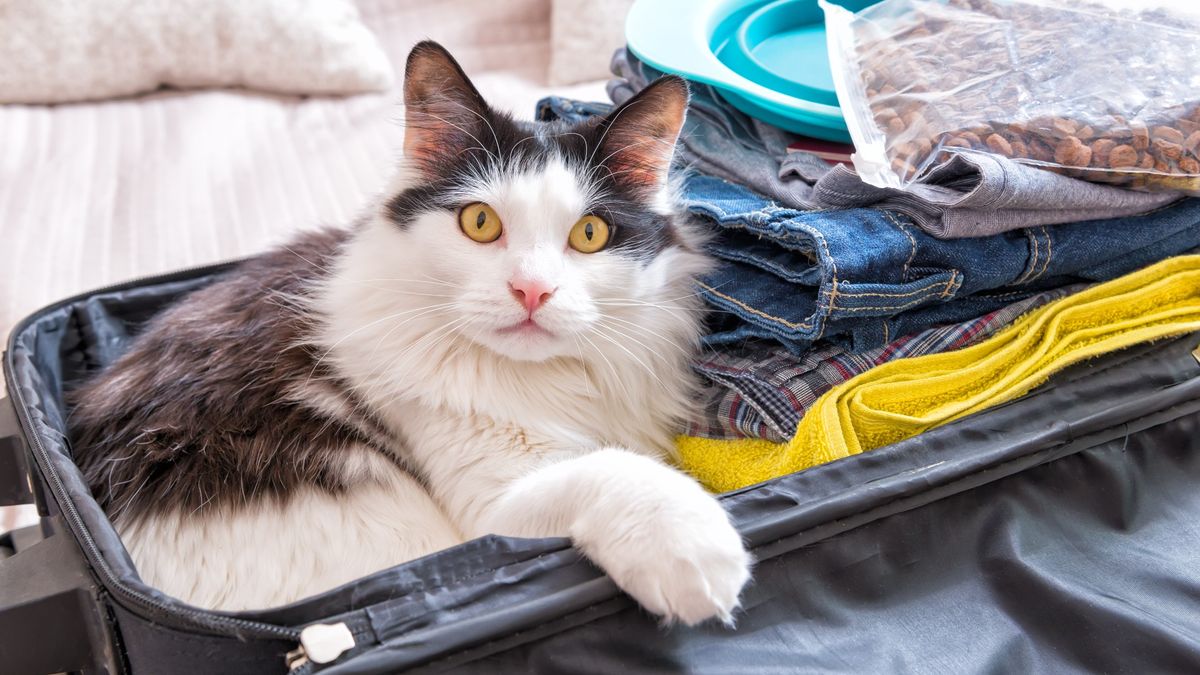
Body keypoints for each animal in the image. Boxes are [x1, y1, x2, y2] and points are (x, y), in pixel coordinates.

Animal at [68, 40, 748, 619]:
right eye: (480, 222)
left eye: (589, 234)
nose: (531, 291)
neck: (544, 381)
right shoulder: (492, 510)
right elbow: (613, 471)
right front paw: (696, 549)